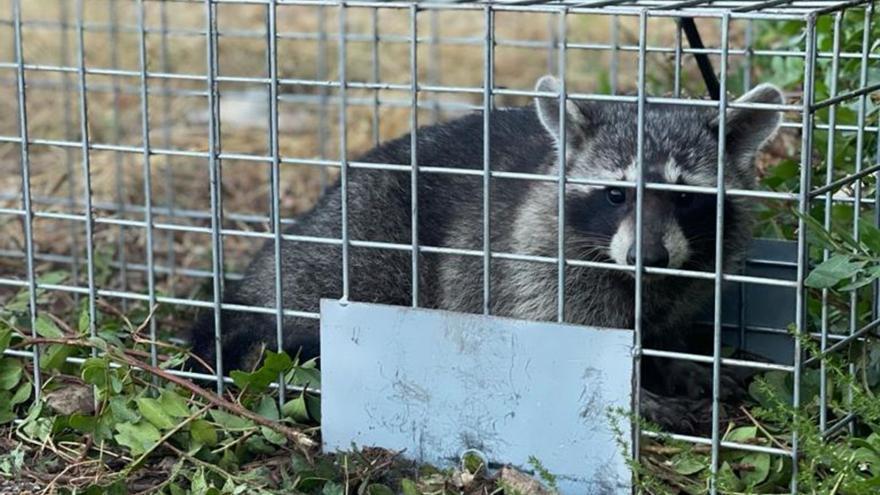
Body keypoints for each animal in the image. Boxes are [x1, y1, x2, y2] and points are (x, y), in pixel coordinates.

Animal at [189, 75, 780, 432]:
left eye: (684, 196)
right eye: (616, 194)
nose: (648, 255)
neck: (641, 280)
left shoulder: (694, 266)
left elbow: (669, 324)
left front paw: (679, 359)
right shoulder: (537, 255)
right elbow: (575, 343)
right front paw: (640, 394)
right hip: (361, 232)